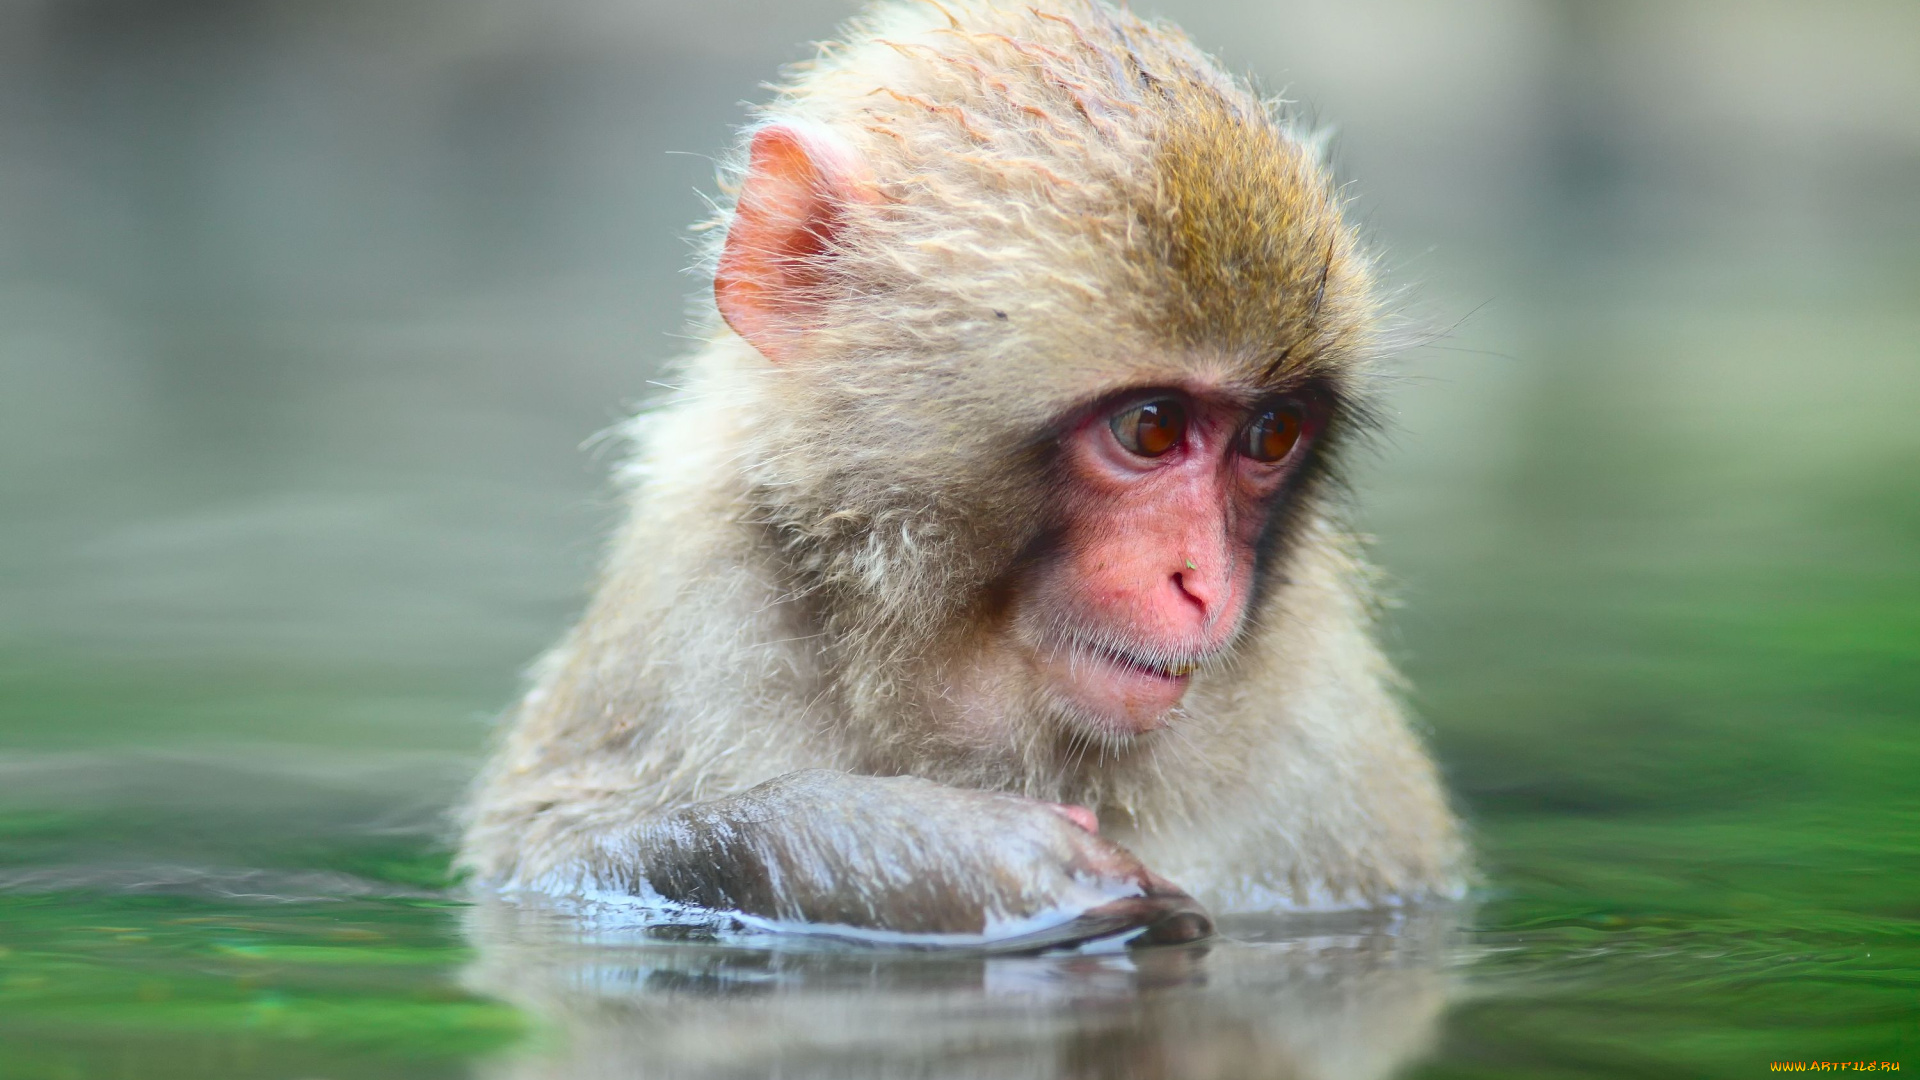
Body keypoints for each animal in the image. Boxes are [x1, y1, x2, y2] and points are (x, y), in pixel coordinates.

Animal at [458, 0, 1465, 949]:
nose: (1205, 584)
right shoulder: (681, 618)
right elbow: (557, 852)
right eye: (1150, 427)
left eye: (1270, 434)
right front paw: (946, 848)